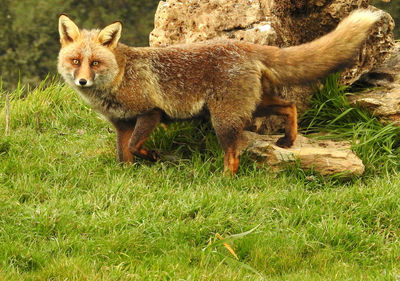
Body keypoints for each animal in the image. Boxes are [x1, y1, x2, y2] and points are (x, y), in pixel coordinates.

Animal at [57, 9, 380, 174]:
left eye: (94, 63)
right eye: (75, 61)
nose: (82, 82)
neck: (120, 79)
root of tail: (241, 45)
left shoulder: (151, 113)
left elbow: (137, 147)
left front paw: (155, 157)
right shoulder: (122, 124)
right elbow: (124, 156)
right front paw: (129, 177)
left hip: (223, 120)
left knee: (233, 158)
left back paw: (225, 181)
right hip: (253, 105)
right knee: (289, 105)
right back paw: (288, 140)